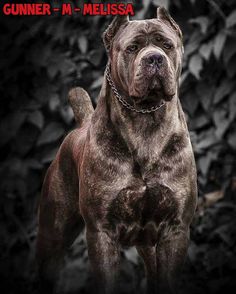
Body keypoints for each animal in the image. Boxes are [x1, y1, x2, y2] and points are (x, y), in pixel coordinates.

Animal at [36, 7, 197, 294]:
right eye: (132, 48)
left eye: (167, 45)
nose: (154, 58)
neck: (145, 120)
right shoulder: (101, 232)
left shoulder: (175, 229)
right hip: (53, 233)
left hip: (148, 245)